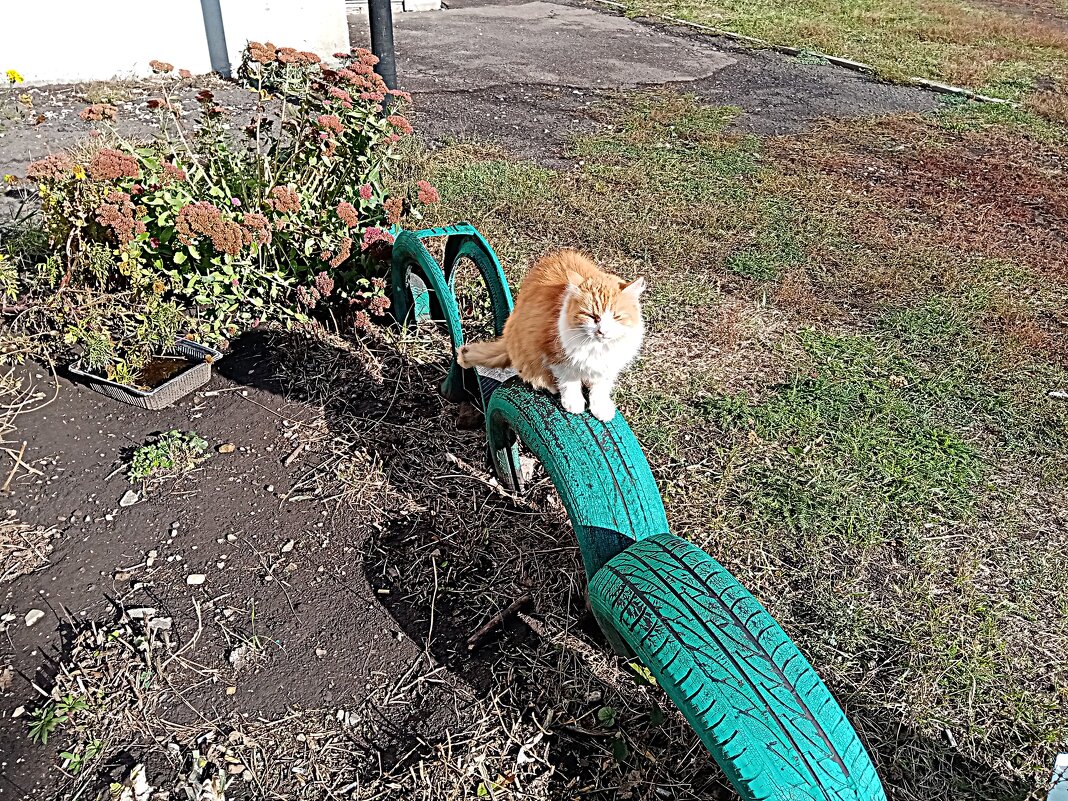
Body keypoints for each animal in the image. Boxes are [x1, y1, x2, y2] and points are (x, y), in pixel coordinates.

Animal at [457, 250, 645, 427]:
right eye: (591, 316)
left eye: (616, 317)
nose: (602, 331)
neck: (596, 348)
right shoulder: (555, 355)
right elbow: (569, 381)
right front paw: (574, 402)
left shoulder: (607, 366)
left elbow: (600, 388)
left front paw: (601, 407)